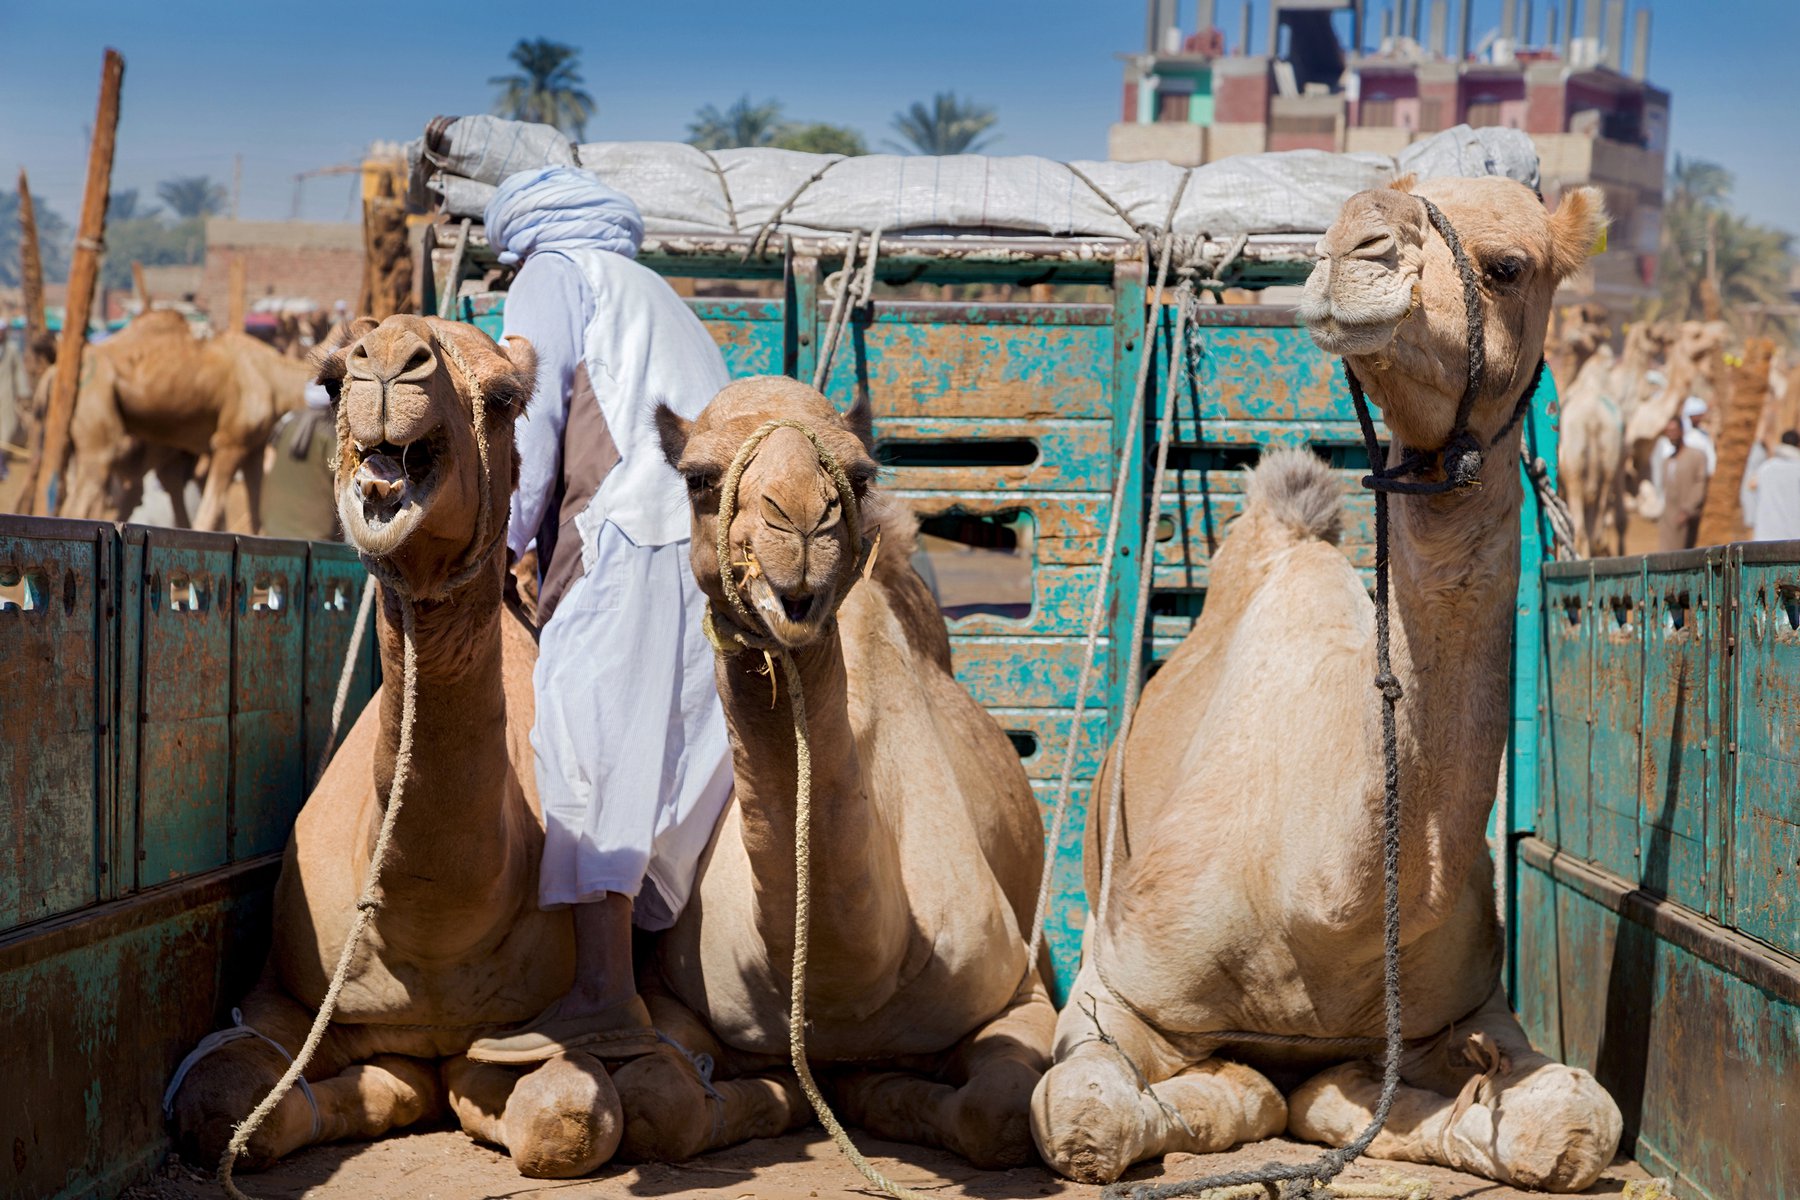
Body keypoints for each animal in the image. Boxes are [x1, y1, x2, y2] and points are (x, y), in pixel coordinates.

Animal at [58, 309, 313, 528]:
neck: (275, 379)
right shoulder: (230, 443)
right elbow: (207, 516)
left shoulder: (255, 449)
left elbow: (257, 517)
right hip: (98, 415)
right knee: (84, 500)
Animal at [165, 313, 626, 1180]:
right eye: (330, 380)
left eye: (505, 398)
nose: (387, 361)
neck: (432, 931)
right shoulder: (282, 998)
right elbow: (216, 1100)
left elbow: (568, 1115)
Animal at [626, 372, 1051, 1165]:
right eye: (698, 478)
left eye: (858, 475)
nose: (799, 522)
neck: (844, 988)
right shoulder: (671, 987)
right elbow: (664, 1106)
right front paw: (784, 1095)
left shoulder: (1019, 986)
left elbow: (999, 1112)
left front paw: (884, 1095)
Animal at [1029, 176, 1634, 1194]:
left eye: (1509, 264)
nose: (1358, 243)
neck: (1317, 905)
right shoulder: (1114, 983)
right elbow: (1084, 1116)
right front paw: (1244, 1091)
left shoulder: (1468, 1007)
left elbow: (1576, 1119)